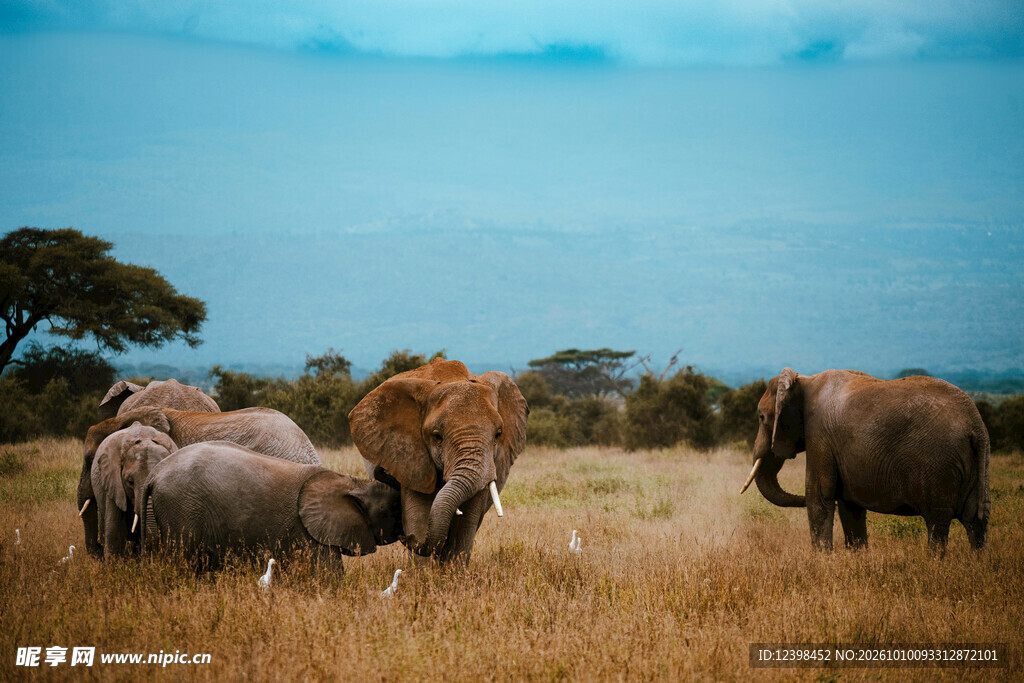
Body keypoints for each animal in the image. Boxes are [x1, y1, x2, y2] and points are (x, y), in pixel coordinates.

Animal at [141, 441, 402, 569]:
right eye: (393, 508)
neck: (350, 482)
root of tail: (154, 473)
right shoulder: (308, 534)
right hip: (182, 509)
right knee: (182, 559)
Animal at [348, 357, 529, 564]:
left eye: (498, 434)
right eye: (437, 437)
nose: (404, 536)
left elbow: (466, 524)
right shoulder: (413, 461)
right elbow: (419, 517)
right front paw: (424, 572)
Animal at [740, 368, 990, 552]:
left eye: (761, 417)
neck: (803, 380)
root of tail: (975, 424)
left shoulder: (819, 435)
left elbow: (819, 496)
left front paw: (821, 561)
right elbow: (850, 507)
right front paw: (857, 558)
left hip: (938, 465)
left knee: (937, 524)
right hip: (977, 464)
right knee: (976, 523)